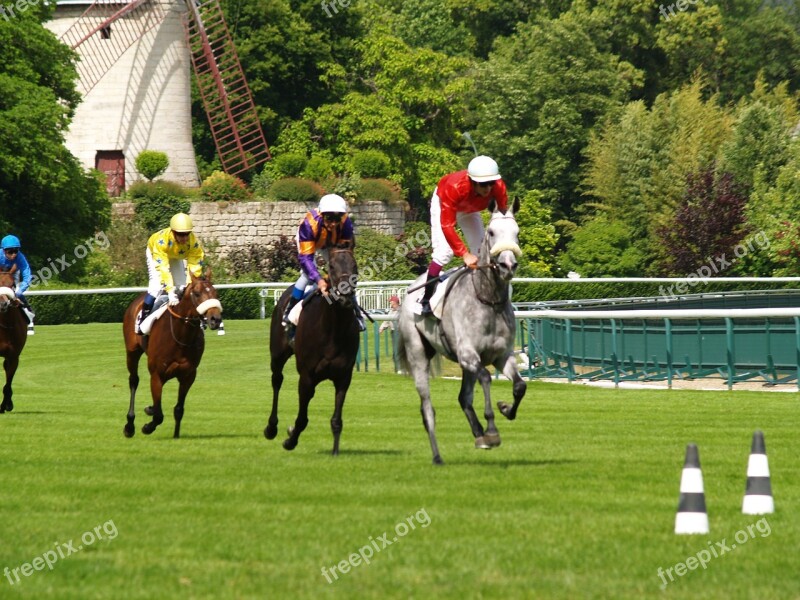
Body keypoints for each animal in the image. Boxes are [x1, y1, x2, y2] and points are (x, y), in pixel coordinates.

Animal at [122, 270, 222, 438]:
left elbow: (178, 409)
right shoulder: (157, 375)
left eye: (215, 292)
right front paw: (147, 427)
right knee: (133, 380)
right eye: (197, 293)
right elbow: (159, 415)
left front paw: (175, 436)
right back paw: (130, 425)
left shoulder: (188, 376)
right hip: (132, 351)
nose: (215, 319)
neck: (181, 335)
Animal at [266, 241, 360, 452]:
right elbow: (302, 419)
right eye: (331, 266)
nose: (345, 296)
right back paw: (271, 428)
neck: (333, 330)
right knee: (277, 380)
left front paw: (335, 452)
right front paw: (290, 440)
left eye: (355, 266)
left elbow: (336, 421)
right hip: (277, 354)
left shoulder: (344, 377)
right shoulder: (307, 377)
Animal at [396, 197, 528, 464]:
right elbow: (486, 378)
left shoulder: (502, 356)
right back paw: (438, 455)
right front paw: (492, 429)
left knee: (463, 397)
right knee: (427, 408)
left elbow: (520, 386)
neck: (488, 300)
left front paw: (505, 409)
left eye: (517, 233)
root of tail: (411, 288)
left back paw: (478, 435)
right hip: (418, 353)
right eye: (491, 232)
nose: (507, 265)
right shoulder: (468, 355)